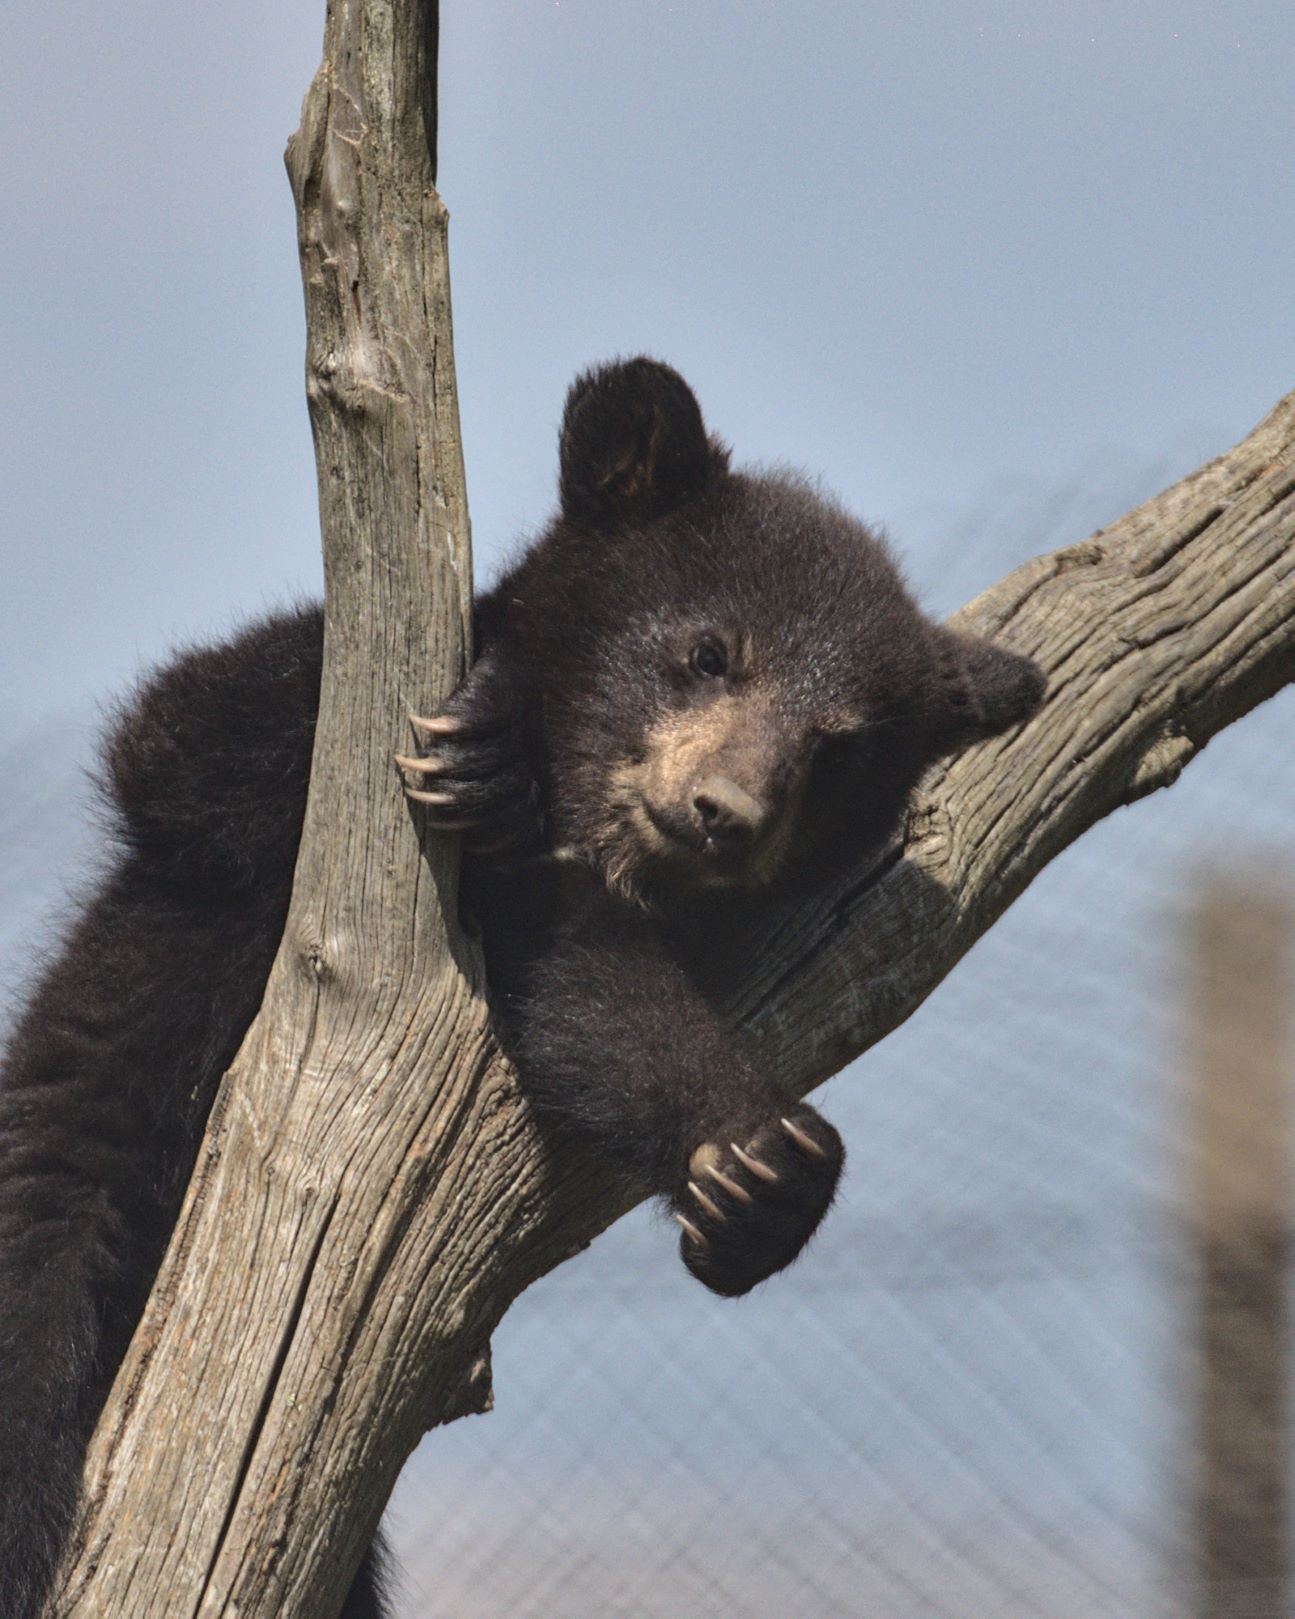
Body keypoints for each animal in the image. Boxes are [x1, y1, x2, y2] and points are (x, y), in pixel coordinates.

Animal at [0, 358, 1044, 1618]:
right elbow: (190, 729)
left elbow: (592, 1004)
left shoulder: (563, 924)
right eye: (708, 651)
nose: (723, 816)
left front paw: (758, 1170)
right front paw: (486, 738)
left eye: (836, 747)